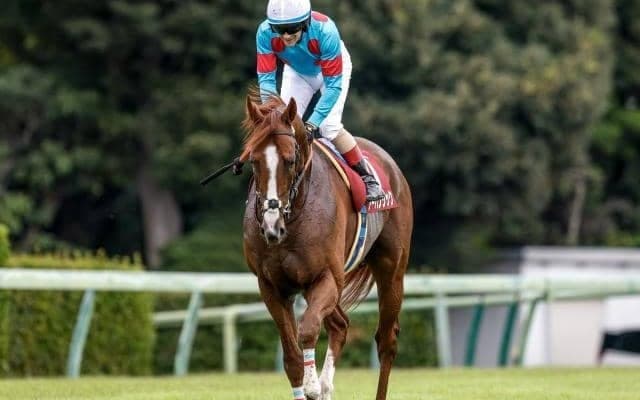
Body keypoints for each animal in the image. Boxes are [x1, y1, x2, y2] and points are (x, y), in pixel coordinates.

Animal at [239, 90, 413, 400]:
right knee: (340, 324)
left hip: (391, 270)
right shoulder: (271, 286)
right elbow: (291, 357)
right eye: (253, 160)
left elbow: (307, 329)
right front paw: (312, 384)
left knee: (386, 340)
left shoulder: (326, 277)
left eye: (290, 159)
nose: (271, 225)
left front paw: (312, 386)